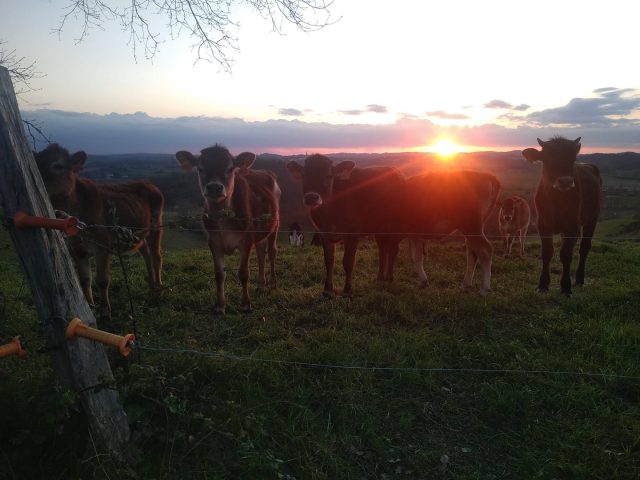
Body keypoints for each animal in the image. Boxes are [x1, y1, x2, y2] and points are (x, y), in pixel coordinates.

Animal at [34, 143, 164, 319]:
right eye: (35, 161)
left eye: (58, 166)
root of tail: (150, 184)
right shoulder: (77, 249)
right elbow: (84, 279)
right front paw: (90, 306)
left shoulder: (102, 244)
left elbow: (102, 280)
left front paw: (106, 311)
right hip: (136, 234)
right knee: (145, 251)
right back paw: (151, 283)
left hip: (156, 225)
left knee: (157, 255)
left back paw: (158, 287)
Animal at [176, 144, 280, 314]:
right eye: (200, 168)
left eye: (230, 169)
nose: (214, 187)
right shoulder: (213, 242)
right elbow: (219, 274)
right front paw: (219, 305)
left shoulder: (246, 240)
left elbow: (243, 273)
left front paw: (245, 304)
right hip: (260, 232)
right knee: (261, 254)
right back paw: (261, 285)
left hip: (275, 225)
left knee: (271, 253)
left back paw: (272, 282)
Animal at [287, 154, 406, 297]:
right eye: (304, 174)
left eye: (329, 176)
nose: (311, 197)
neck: (329, 213)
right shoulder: (324, 234)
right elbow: (329, 260)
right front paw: (327, 288)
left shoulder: (353, 233)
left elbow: (348, 262)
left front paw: (348, 289)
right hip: (379, 227)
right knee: (382, 249)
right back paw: (380, 278)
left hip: (395, 224)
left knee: (393, 250)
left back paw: (389, 278)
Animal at [522, 136, 602, 295]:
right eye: (548, 158)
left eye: (572, 158)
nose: (565, 181)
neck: (556, 200)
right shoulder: (542, 223)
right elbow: (547, 252)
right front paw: (543, 284)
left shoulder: (572, 224)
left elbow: (566, 254)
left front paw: (566, 286)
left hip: (592, 218)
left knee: (584, 248)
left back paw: (580, 279)